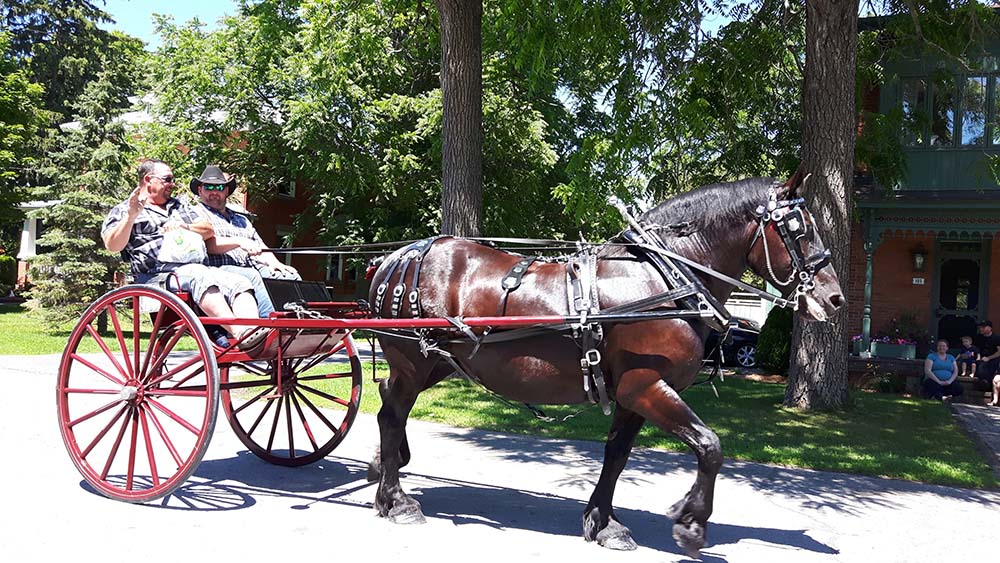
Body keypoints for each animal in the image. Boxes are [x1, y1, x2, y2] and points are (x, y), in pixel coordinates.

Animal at [365, 174, 844, 556]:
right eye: (800, 230)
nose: (834, 298)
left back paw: (385, 470)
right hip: (414, 359)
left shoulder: (633, 394)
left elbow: (617, 456)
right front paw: (690, 522)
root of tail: (394, 258)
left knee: (389, 401)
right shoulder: (645, 385)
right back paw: (396, 499)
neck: (663, 281)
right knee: (392, 413)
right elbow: (710, 446)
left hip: (437, 362)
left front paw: (603, 522)